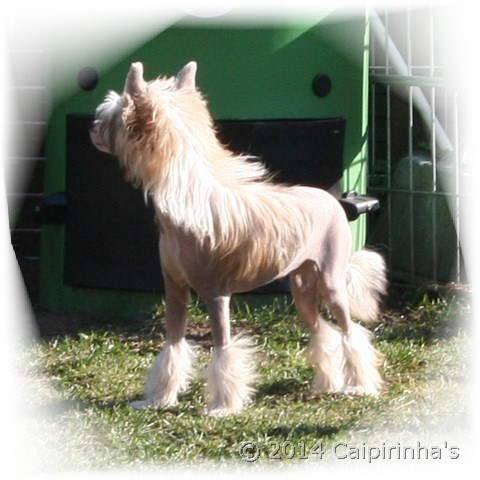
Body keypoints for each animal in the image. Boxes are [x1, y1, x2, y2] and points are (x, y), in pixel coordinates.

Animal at [90, 61, 387, 416]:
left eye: (113, 116)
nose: (91, 126)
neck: (186, 202)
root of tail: (333, 199)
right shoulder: (175, 292)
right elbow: (173, 346)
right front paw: (157, 399)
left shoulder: (216, 296)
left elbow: (223, 350)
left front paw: (223, 406)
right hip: (302, 289)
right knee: (321, 332)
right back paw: (328, 384)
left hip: (331, 285)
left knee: (350, 332)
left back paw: (359, 386)